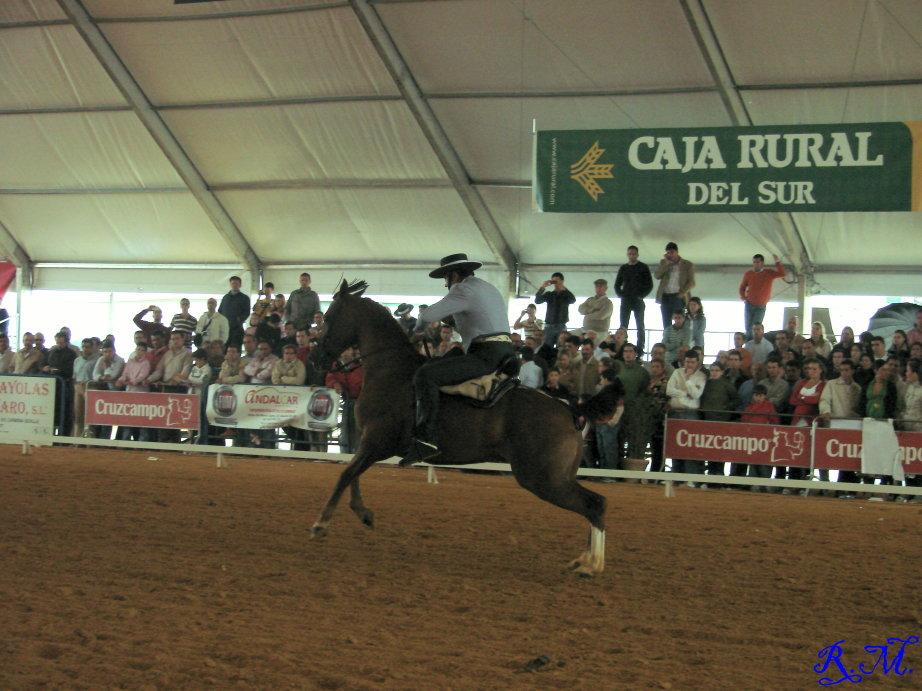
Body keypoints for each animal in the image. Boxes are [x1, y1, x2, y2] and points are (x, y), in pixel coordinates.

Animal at [310, 279, 607, 576]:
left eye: (329, 317)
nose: (316, 357)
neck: (392, 371)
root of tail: (569, 411)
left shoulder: (377, 443)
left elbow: (346, 474)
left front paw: (321, 523)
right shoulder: (369, 444)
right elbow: (353, 473)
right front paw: (363, 513)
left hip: (543, 479)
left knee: (594, 505)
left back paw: (592, 565)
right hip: (557, 477)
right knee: (595, 503)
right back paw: (585, 560)